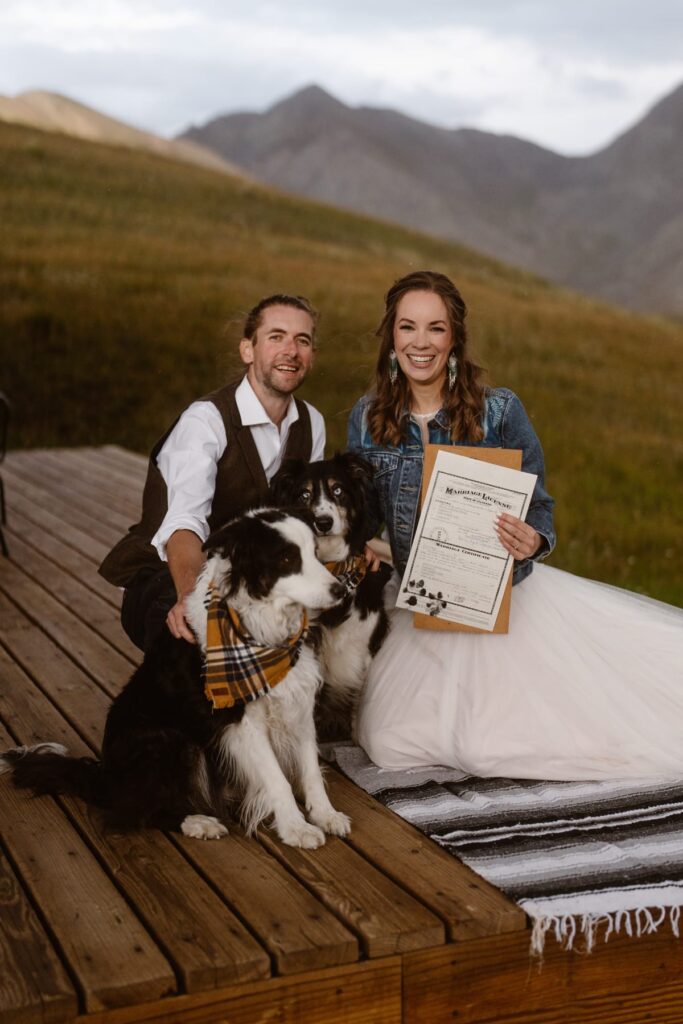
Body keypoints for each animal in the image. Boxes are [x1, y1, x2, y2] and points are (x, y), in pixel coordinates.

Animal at [0, 509, 352, 847]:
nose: (340, 590)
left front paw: (325, 814)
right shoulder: (240, 718)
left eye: (315, 552)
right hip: (170, 739)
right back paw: (198, 822)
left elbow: (310, 768)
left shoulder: (298, 700)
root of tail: (104, 776)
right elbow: (276, 777)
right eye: (287, 559)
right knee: (136, 809)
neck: (264, 632)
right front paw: (296, 828)